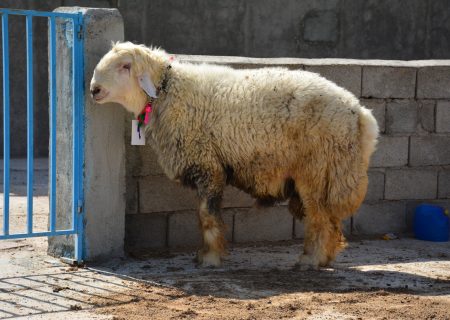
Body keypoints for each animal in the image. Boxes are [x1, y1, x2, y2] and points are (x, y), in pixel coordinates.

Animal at [89, 41, 378, 268]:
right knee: (328, 219)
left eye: (125, 66)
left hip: (317, 167)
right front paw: (206, 254)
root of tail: (360, 114)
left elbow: (206, 215)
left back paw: (311, 259)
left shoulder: (207, 164)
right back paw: (323, 257)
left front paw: (210, 257)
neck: (169, 93)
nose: (94, 90)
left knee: (319, 217)